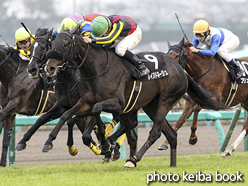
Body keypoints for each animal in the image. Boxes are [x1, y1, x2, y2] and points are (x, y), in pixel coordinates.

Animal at [17, 26, 138, 161]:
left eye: (43, 47)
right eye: (31, 47)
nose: (31, 70)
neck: (69, 78)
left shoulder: (88, 105)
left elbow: (82, 127)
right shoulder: (63, 105)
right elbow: (42, 119)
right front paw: (23, 141)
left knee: (128, 124)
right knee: (130, 128)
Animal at [43, 25, 229, 168]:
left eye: (66, 44)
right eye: (53, 42)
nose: (49, 68)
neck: (98, 67)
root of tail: (180, 69)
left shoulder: (117, 103)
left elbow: (97, 111)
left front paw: (105, 143)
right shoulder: (85, 102)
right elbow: (67, 115)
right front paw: (49, 142)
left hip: (165, 100)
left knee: (155, 132)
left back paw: (133, 159)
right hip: (150, 105)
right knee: (171, 134)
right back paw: (172, 164)